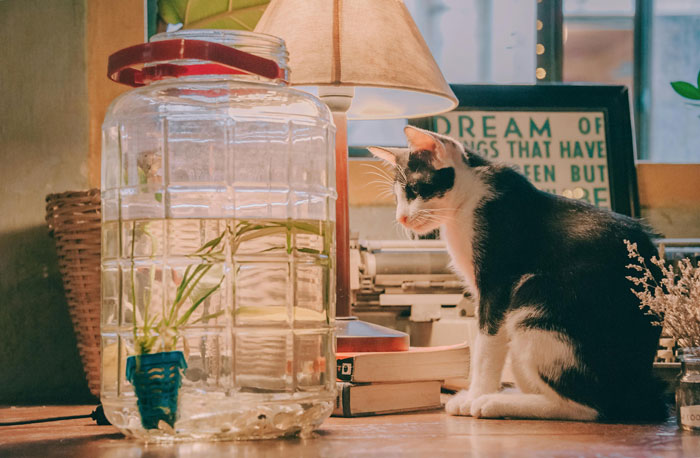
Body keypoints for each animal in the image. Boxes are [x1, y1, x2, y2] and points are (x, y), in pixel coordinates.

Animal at [370, 125, 664, 422]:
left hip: (534, 299)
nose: (401, 218)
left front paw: (475, 394)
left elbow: (486, 346)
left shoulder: (498, 283)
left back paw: (494, 403)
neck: (468, 201)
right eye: (397, 197)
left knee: (589, 406)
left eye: (414, 189)